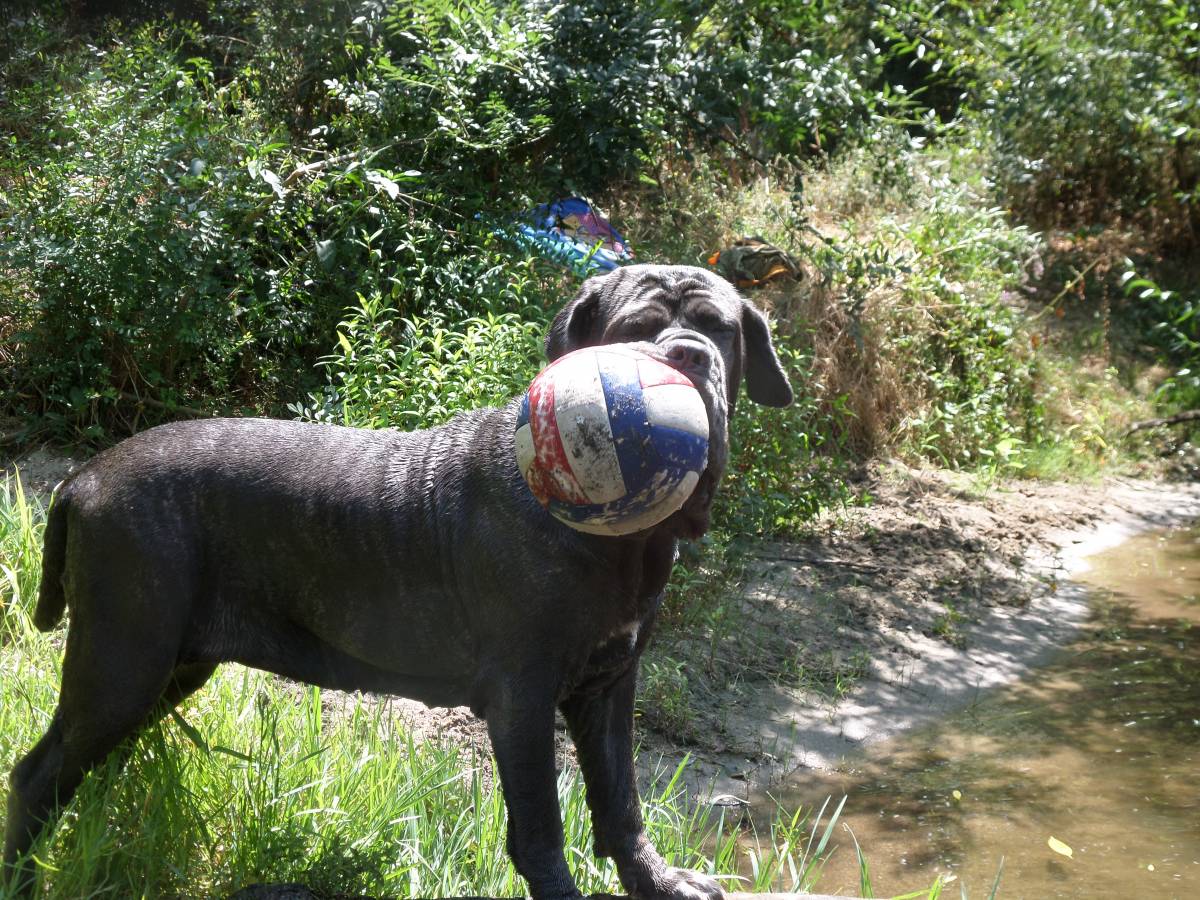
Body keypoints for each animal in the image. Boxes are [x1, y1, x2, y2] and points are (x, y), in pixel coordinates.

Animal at [2, 264, 796, 897]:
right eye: (637, 330)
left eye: (721, 330)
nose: (687, 357)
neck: (620, 543)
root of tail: (82, 478)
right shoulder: (525, 694)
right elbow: (541, 823)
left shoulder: (608, 682)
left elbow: (620, 797)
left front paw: (659, 882)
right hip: (123, 660)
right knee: (37, 773)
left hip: (170, 666)